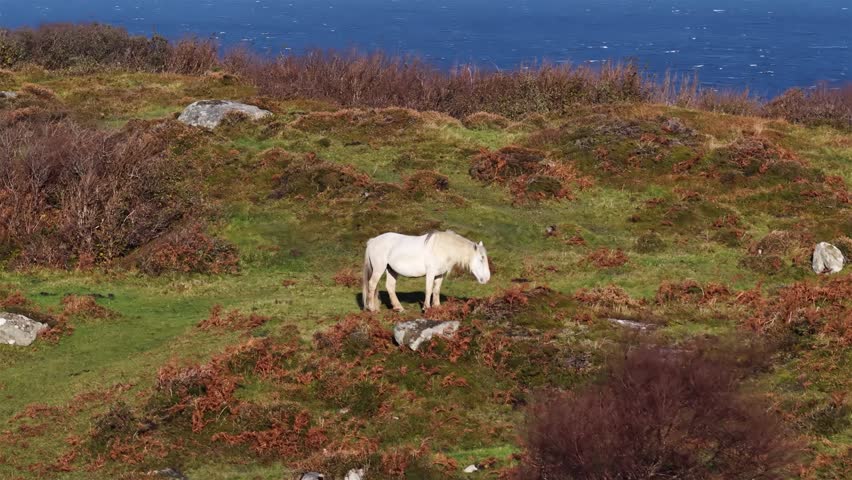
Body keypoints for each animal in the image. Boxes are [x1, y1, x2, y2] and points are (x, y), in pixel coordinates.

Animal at [361, 230, 491, 312]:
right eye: (481, 259)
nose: (486, 279)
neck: (442, 248)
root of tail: (372, 241)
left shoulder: (440, 275)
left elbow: (436, 290)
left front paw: (437, 308)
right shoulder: (431, 273)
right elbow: (429, 290)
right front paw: (426, 308)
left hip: (391, 269)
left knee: (390, 286)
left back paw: (399, 308)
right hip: (379, 268)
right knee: (372, 284)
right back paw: (372, 308)